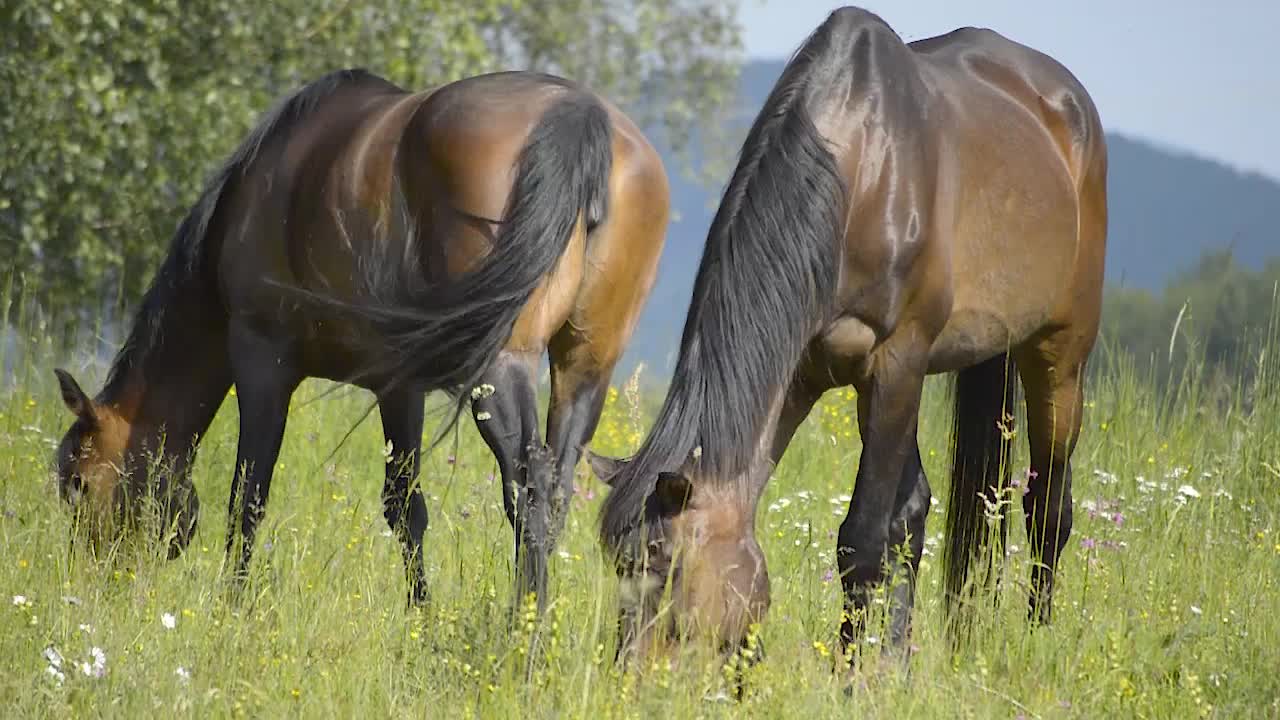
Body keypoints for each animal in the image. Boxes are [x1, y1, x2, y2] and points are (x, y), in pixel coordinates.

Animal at [51, 68, 671, 611]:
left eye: (77, 483)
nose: (91, 581)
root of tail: (578, 113)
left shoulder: (262, 360)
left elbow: (249, 495)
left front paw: (233, 607)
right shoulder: (400, 387)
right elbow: (405, 509)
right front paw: (421, 622)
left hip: (501, 368)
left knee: (529, 488)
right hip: (584, 367)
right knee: (555, 491)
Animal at [587, 6, 1107, 665]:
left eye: (664, 562)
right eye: (618, 563)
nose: (631, 674)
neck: (858, 172)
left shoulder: (897, 365)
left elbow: (861, 539)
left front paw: (852, 671)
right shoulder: (804, 373)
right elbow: (893, 523)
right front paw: (881, 662)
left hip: (1060, 351)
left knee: (1048, 506)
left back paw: (1035, 637)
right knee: (925, 511)